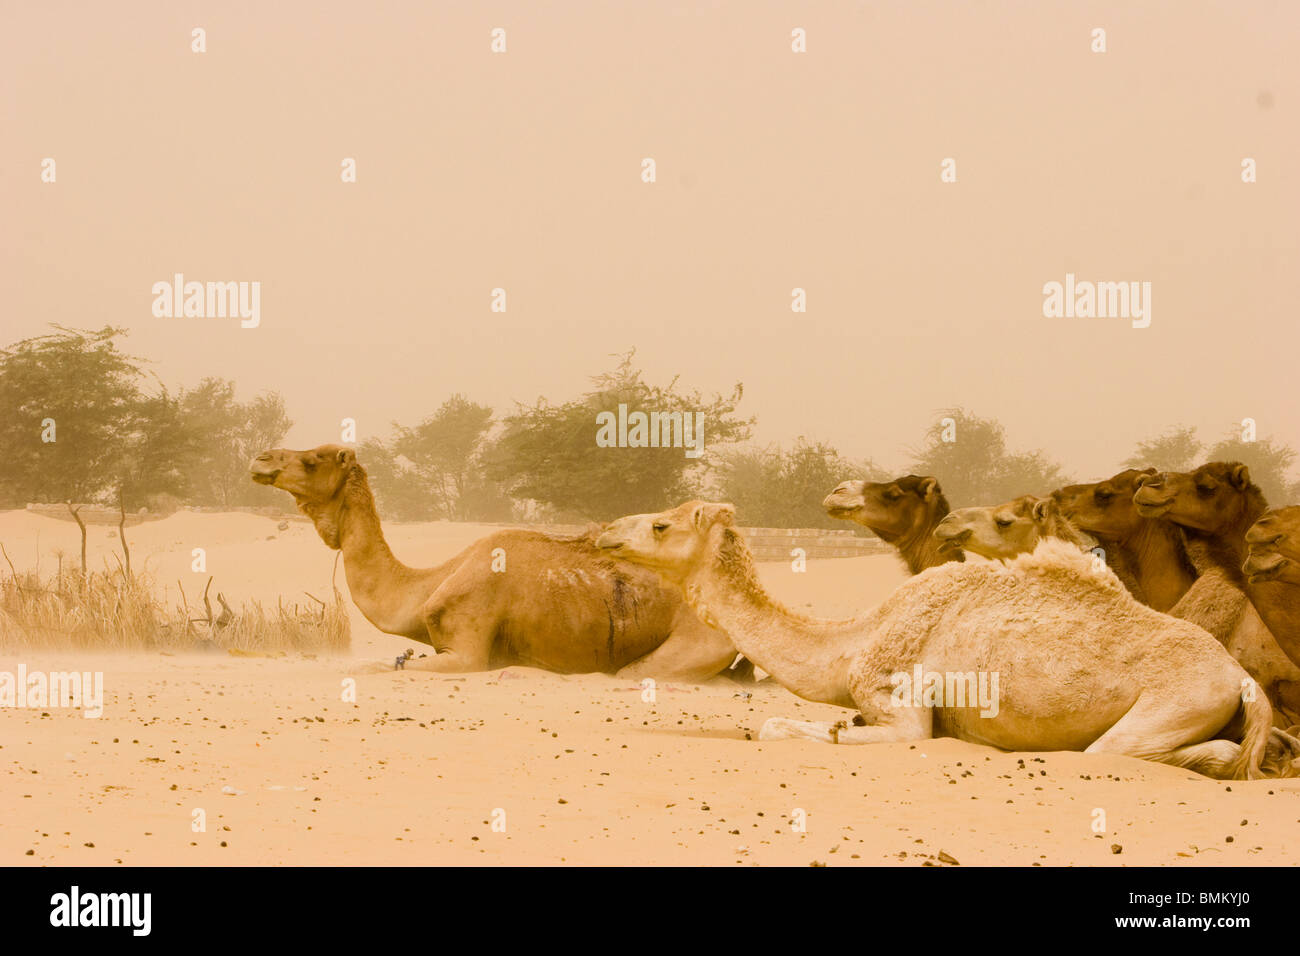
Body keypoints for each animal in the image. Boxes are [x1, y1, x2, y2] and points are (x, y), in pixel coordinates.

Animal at [248, 447, 748, 681]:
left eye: (313, 460)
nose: (261, 458)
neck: (425, 584)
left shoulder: (467, 647)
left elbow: (380, 668)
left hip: (697, 641)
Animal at [595, 502, 1294, 780]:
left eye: (661, 526)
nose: (602, 532)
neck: (857, 639)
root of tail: (1240, 678)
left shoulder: (901, 705)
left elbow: (784, 727)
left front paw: (832, 732)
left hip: (1173, 703)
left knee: (1135, 751)